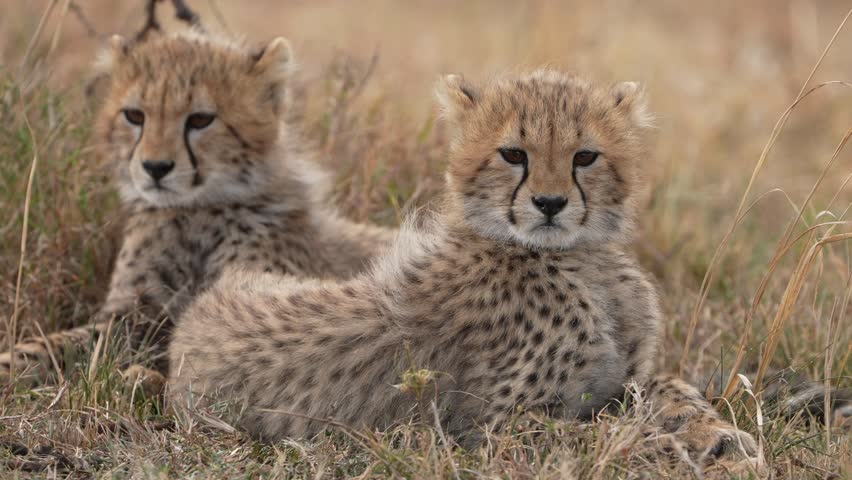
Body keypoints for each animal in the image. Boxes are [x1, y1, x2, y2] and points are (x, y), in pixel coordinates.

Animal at [1, 30, 393, 386]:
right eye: (134, 116)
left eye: (201, 119)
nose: (156, 167)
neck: (195, 213)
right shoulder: (131, 314)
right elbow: (58, 343)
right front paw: (11, 364)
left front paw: (144, 377)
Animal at [168, 69, 758, 463]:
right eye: (513, 154)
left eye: (585, 156)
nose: (549, 203)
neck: (579, 258)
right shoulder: (495, 426)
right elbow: (601, 435)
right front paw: (672, 447)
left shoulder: (621, 378)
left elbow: (667, 384)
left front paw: (714, 432)